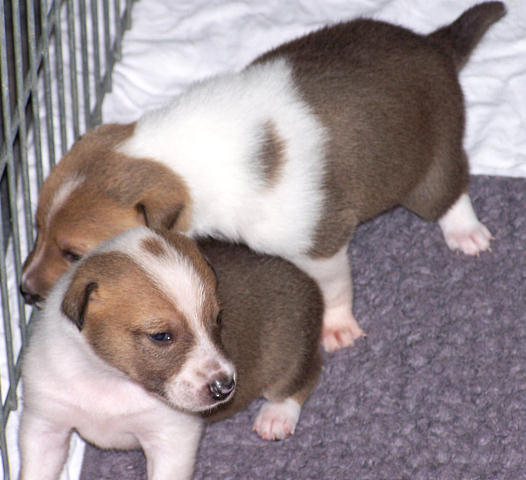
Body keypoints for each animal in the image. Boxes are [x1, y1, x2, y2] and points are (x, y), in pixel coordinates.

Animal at [19, 227, 322, 480]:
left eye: (217, 318)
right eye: (161, 336)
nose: (225, 387)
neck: (108, 377)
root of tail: (306, 277)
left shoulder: (172, 439)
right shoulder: (45, 427)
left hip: (290, 350)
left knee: (305, 376)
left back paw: (276, 417)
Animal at [20, 3, 505, 351]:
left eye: (74, 253)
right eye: (37, 227)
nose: (23, 290)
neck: (181, 154)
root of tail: (437, 44)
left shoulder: (319, 242)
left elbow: (333, 287)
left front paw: (337, 327)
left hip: (430, 162)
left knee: (451, 190)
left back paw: (466, 232)